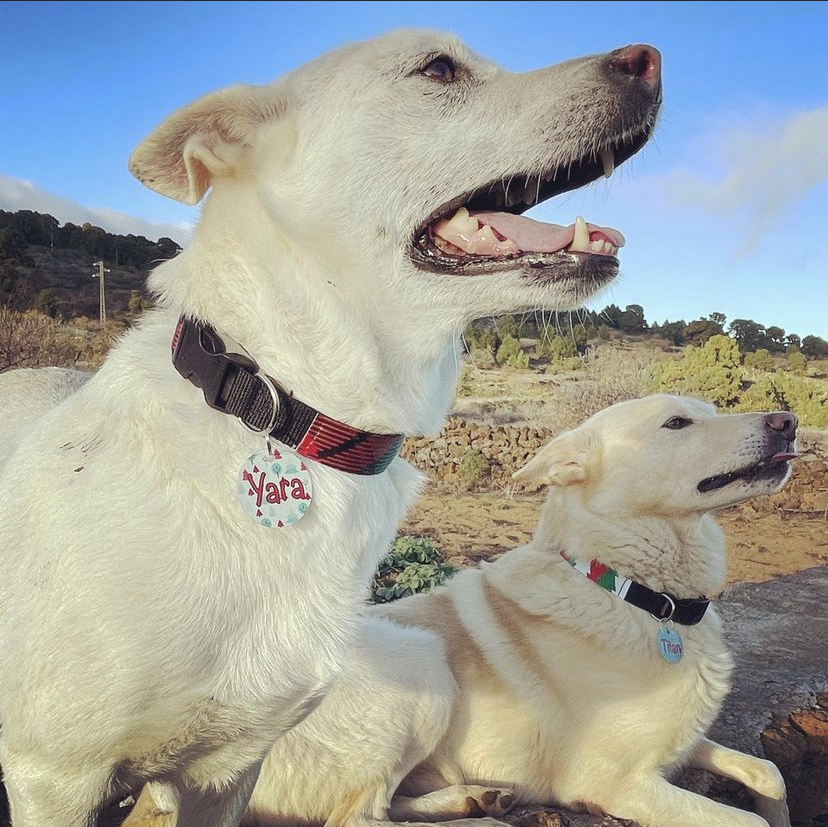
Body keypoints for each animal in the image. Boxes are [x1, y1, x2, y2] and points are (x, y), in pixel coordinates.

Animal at [241, 394, 796, 827]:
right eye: (677, 423)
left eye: (713, 411)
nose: (787, 421)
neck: (633, 594)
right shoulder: (618, 782)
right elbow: (749, 819)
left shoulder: (678, 746)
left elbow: (770, 774)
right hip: (422, 660)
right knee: (358, 816)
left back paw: (474, 798)